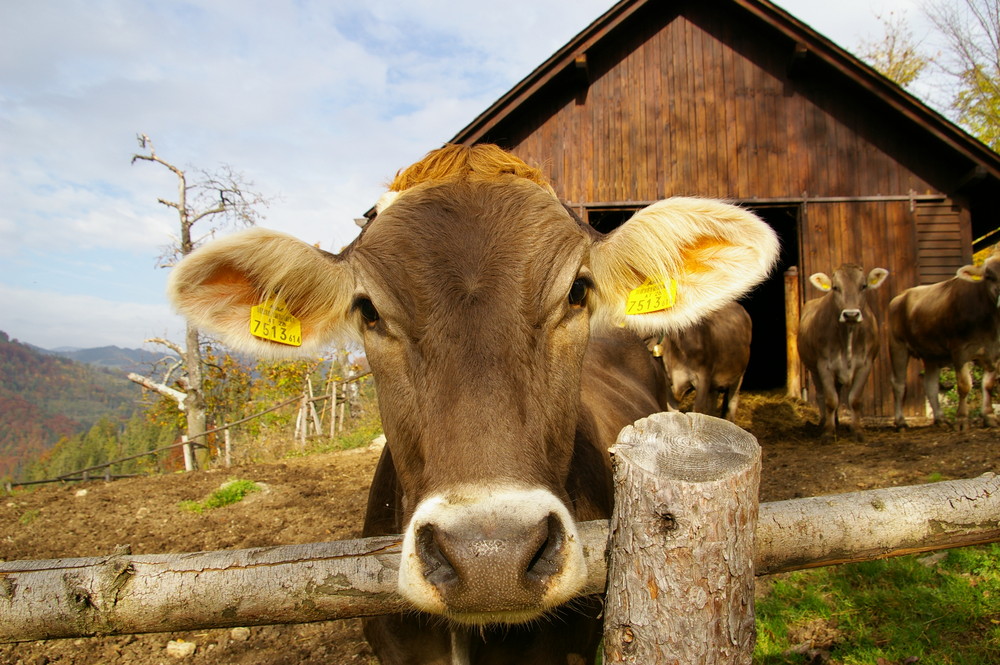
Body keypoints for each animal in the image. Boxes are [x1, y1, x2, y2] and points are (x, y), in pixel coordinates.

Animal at [796, 264, 892, 440]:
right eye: (835, 287)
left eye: (863, 286)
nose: (851, 314)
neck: (848, 335)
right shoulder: (824, 366)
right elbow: (830, 399)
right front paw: (828, 432)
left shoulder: (865, 365)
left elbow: (854, 399)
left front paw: (857, 431)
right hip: (813, 369)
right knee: (821, 395)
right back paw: (824, 423)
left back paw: (837, 422)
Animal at [892, 253, 1000, 430]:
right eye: (989, 277)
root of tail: (902, 295)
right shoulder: (960, 351)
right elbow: (964, 385)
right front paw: (962, 419)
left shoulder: (994, 352)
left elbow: (988, 385)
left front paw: (989, 417)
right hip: (898, 346)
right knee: (899, 384)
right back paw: (900, 422)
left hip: (930, 353)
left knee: (930, 385)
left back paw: (940, 419)